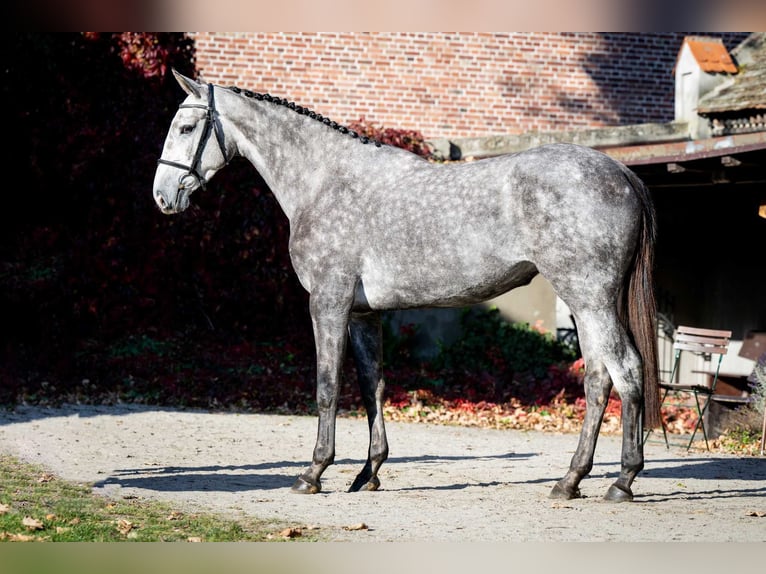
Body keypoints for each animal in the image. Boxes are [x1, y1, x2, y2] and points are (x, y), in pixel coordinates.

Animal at [154, 71, 660, 504]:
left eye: (186, 126)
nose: (163, 196)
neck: (324, 180)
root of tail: (622, 173)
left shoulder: (328, 303)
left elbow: (327, 387)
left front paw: (313, 473)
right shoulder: (363, 313)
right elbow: (372, 387)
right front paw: (368, 473)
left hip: (590, 299)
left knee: (626, 371)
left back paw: (622, 481)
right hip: (585, 304)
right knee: (598, 379)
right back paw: (571, 480)